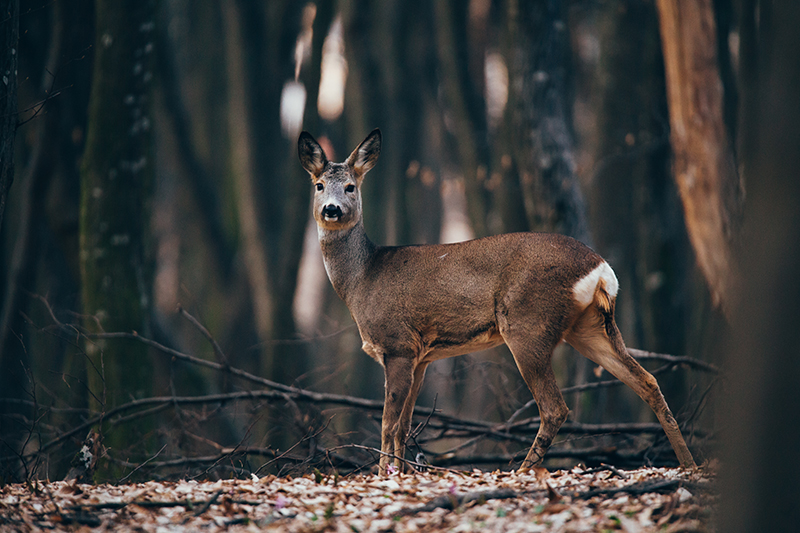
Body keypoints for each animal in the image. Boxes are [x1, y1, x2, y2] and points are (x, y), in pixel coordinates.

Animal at [296, 130, 696, 474]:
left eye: (351, 186)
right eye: (319, 185)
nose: (331, 209)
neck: (362, 279)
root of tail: (600, 269)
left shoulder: (397, 345)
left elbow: (388, 423)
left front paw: (384, 475)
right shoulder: (421, 356)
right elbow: (405, 424)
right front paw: (402, 472)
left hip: (527, 323)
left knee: (555, 407)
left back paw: (521, 470)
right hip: (591, 327)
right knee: (647, 381)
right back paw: (688, 463)